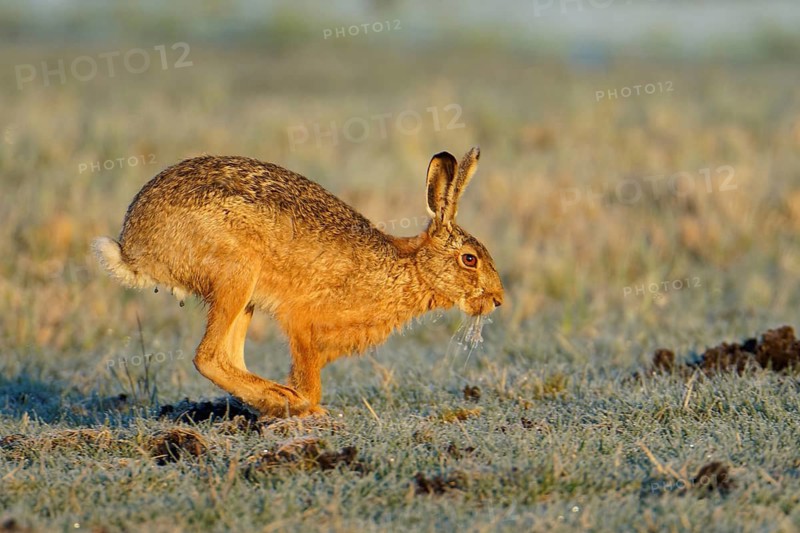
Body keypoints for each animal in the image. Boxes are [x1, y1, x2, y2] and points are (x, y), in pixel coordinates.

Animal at [93, 147, 504, 417]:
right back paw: (277, 399)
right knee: (207, 357)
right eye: (470, 259)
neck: (411, 267)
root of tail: (135, 248)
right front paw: (306, 407)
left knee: (228, 355)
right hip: (236, 274)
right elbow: (310, 383)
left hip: (245, 298)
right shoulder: (303, 323)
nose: (497, 299)